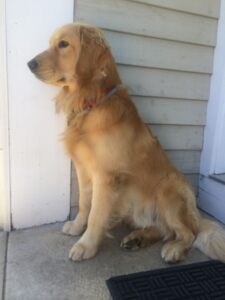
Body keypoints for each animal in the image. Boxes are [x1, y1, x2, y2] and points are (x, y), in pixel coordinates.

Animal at [27, 23, 225, 262]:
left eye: (63, 44)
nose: (29, 63)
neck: (91, 103)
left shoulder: (106, 176)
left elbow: (96, 214)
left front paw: (86, 245)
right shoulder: (82, 168)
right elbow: (84, 203)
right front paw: (76, 226)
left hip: (169, 190)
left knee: (189, 233)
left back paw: (175, 249)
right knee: (163, 229)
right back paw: (137, 238)